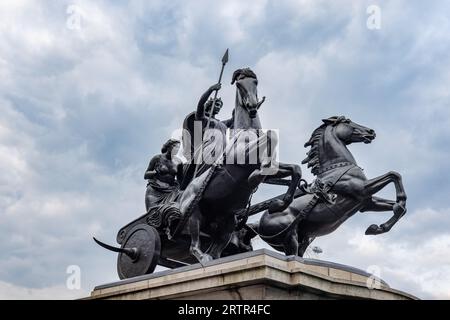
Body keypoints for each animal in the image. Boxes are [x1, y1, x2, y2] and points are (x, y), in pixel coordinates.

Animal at [178, 67, 300, 262]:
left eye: (255, 82)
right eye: (239, 84)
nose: (252, 107)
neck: (247, 132)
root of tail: (183, 195)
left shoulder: (274, 167)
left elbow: (295, 169)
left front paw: (279, 204)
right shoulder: (243, 157)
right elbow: (271, 137)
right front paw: (255, 178)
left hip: (226, 222)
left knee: (216, 250)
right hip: (194, 214)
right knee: (194, 246)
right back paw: (203, 258)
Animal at [250, 116, 408, 256]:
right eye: (347, 121)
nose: (371, 132)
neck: (337, 166)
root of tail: (258, 223)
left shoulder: (366, 203)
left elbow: (400, 207)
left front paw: (377, 227)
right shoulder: (362, 189)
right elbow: (393, 175)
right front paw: (395, 207)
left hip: (303, 239)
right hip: (289, 238)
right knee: (292, 257)